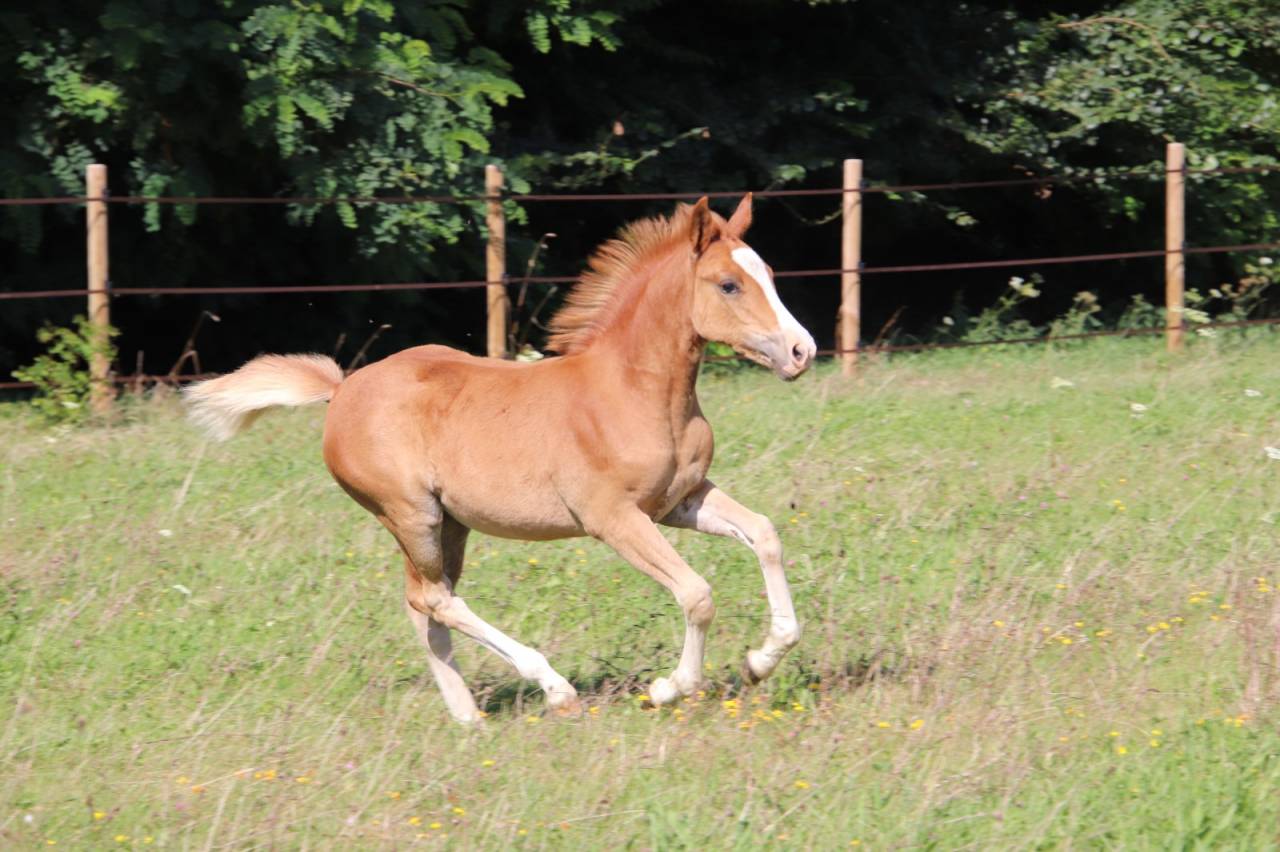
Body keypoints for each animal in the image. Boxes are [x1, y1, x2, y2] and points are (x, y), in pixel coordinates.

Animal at [185, 194, 816, 722]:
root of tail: (341, 390)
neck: (637, 392)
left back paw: (468, 718)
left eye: (770, 276)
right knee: (434, 597)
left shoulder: (679, 502)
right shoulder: (614, 519)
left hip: (450, 524)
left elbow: (765, 534)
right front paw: (669, 688)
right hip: (410, 513)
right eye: (728, 284)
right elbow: (696, 594)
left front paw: (761, 660)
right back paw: (553, 688)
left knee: (423, 605)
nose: (801, 350)